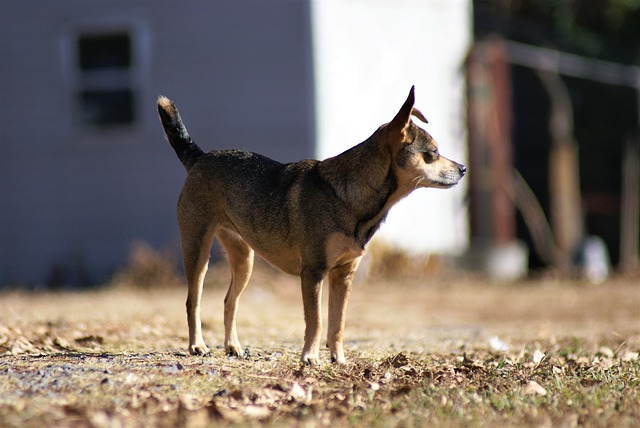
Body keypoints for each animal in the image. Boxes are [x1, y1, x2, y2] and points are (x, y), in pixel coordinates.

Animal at [156, 87, 464, 364]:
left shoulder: (343, 275)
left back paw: (233, 347)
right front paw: (310, 358)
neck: (348, 194)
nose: (463, 168)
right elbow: (316, 321)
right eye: (433, 153)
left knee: (229, 301)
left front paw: (338, 360)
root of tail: (200, 157)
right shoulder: (313, 272)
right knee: (193, 301)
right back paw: (197, 346)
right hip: (197, 249)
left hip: (244, 259)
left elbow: (337, 323)